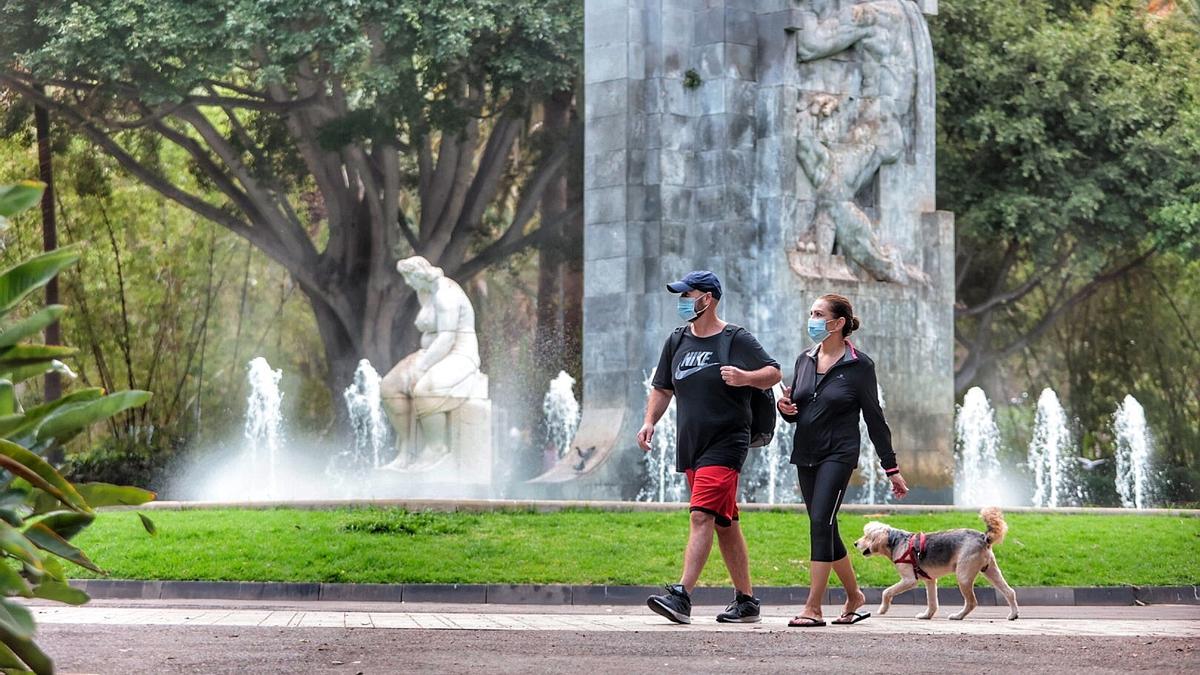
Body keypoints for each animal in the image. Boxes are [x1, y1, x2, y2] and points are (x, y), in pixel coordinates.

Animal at [854, 504, 1022, 619]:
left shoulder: (909, 580)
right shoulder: (930, 581)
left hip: (963, 577)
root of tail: (984, 537)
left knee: (972, 602)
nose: (855, 543)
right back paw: (1013, 614)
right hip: (991, 571)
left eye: (867, 536)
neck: (896, 542)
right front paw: (926, 616)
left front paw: (883, 609)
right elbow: (932, 602)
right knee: (1010, 592)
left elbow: (886, 591)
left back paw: (958, 616)